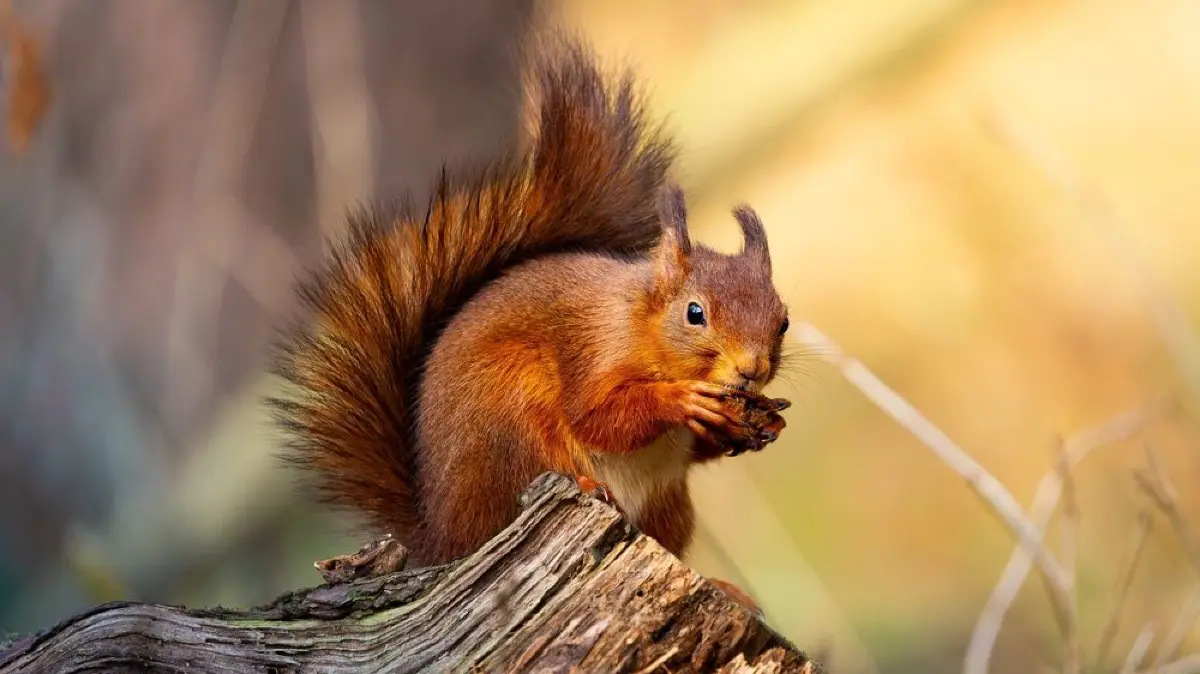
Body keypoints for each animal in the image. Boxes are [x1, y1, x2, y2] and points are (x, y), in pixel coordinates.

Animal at [270, 34, 791, 610]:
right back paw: (584, 487)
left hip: (666, 505)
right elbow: (598, 418)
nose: (751, 369)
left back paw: (724, 587)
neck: (640, 322)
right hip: (512, 413)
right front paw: (681, 399)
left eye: (783, 321)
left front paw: (760, 423)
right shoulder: (593, 350)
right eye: (695, 313)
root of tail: (447, 541)